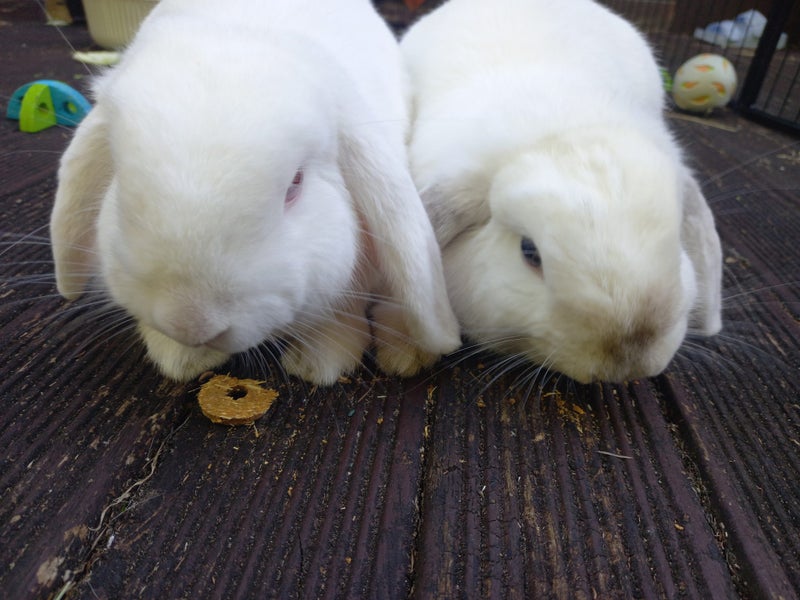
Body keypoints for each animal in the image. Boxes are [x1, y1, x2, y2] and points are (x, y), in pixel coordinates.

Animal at [50, 0, 461, 385]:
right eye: (121, 182)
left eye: (295, 184)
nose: (191, 323)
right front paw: (180, 358)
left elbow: (340, 310)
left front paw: (318, 363)